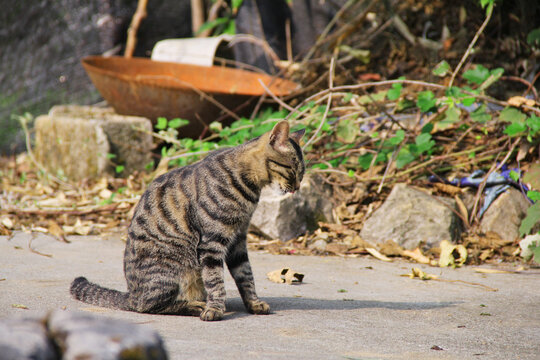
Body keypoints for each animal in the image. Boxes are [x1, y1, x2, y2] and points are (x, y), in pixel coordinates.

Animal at [69, 121, 304, 320]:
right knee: (149, 306)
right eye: (293, 170)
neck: (250, 185)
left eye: (302, 174)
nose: (297, 188)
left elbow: (246, 276)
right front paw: (215, 309)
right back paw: (195, 306)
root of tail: (130, 294)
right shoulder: (212, 241)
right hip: (171, 269)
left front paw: (253, 303)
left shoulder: (238, 240)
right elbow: (215, 280)